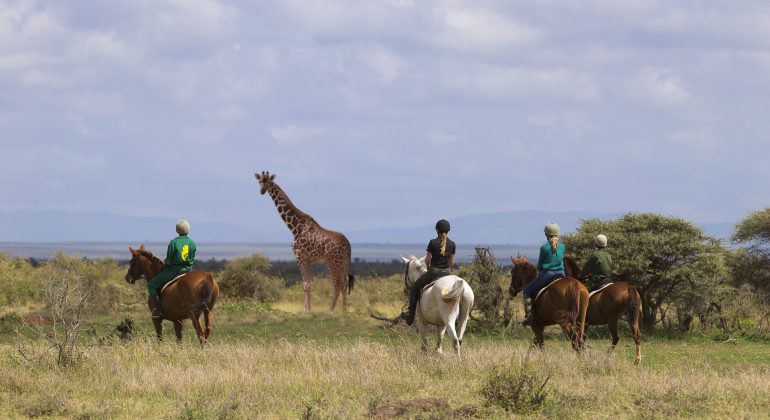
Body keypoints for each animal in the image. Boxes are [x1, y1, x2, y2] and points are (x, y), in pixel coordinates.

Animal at [256, 171, 356, 312]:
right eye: (260, 181)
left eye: (269, 182)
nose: (262, 191)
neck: (295, 227)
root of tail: (348, 244)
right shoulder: (307, 260)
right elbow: (307, 284)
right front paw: (306, 308)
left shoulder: (300, 257)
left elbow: (306, 285)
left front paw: (308, 310)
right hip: (343, 262)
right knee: (344, 283)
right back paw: (343, 309)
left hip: (333, 261)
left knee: (337, 284)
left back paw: (331, 309)